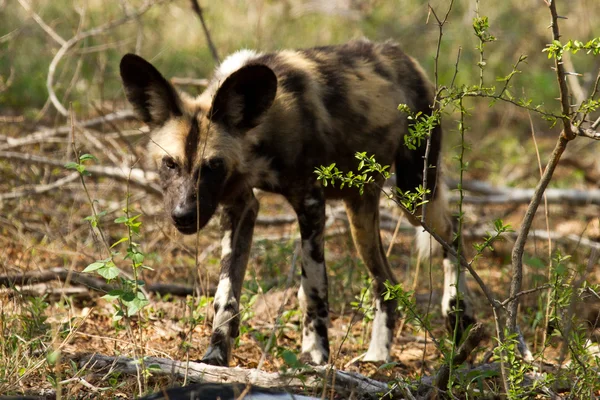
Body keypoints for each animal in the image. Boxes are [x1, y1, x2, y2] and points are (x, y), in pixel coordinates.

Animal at [118, 39, 474, 366]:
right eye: (170, 164)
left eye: (213, 166)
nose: (183, 215)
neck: (261, 130)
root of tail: (401, 54)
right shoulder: (239, 206)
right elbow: (225, 295)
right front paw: (215, 355)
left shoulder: (310, 202)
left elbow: (313, 288)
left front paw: (314, 356)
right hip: (360, 212)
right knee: (385, 281)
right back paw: (378, 355)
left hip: (414, 196)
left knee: (453, 232)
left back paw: (458, 313)